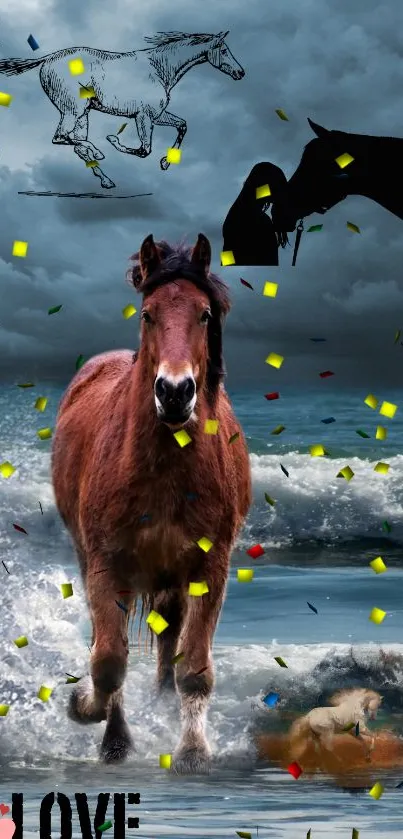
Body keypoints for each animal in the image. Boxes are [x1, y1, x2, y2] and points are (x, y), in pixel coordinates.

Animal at [51, 233, 252, 772]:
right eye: (148, 314)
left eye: (204, 314)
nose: (175, 392)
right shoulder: (107, 566)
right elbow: (107, 660)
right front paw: (89, 714)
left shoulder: (210, 568)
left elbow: (194, 667)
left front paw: (193, 751)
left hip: (171, 579)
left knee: (169, 643)